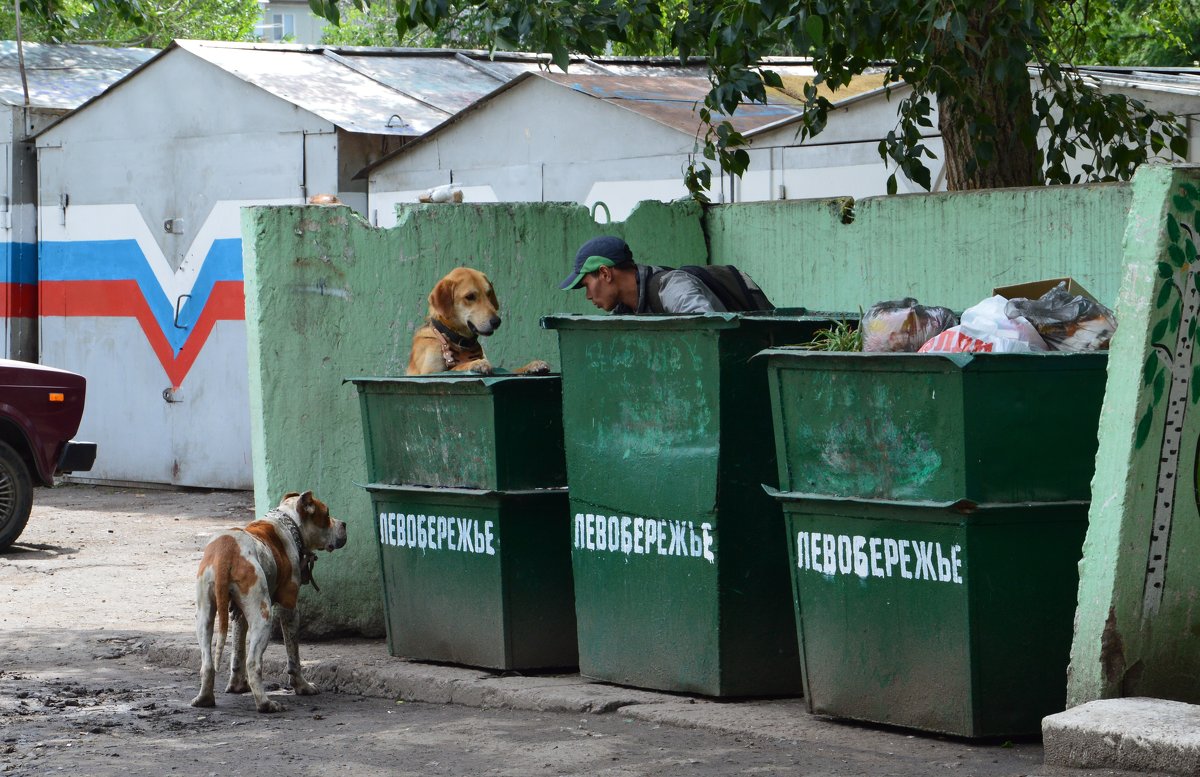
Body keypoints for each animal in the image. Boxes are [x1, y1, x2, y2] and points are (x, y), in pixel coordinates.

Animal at [189, 489, 345, 714]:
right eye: (327, 514)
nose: (344, 524)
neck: (289, 521)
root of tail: (227, 550)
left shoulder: (239, 613)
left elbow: (237, 651)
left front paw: (237, 686)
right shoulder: (289, 608)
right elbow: (293, 656)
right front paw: (303, 686)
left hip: (204, 616)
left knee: (208, 663)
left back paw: (204, 699)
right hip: (264, 619)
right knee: (253, 662)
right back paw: (265, 703)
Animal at [405, 267, 549, 376]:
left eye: (489, 293)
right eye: (470, 296)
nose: (497, 321)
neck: (457, 340)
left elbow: (511, 370)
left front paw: (532, 365)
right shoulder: (430, 372)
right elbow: (456, 368)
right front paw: (475, 363)